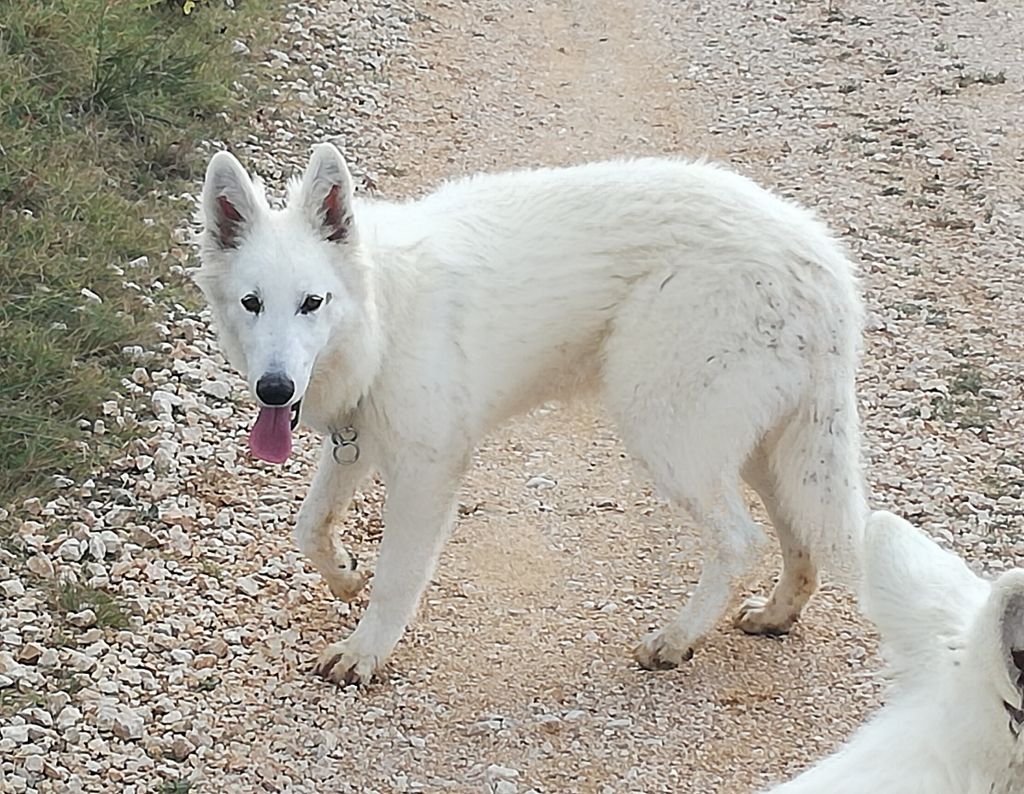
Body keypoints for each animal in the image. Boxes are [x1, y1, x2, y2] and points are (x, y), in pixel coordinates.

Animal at [195, 143, 866, 684]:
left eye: (313, 302)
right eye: (252, 303)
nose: (275, 389)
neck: (381, 315)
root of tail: (820, 261)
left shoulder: (427, 470)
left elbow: (396, 577)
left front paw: (366, 650)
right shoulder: (356, 440)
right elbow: (309, 525)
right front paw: (342, 574)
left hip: (668, 434)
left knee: (740, 541)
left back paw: (676, 639)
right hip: (765, 450)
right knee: (799, 537)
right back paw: (777, 613)